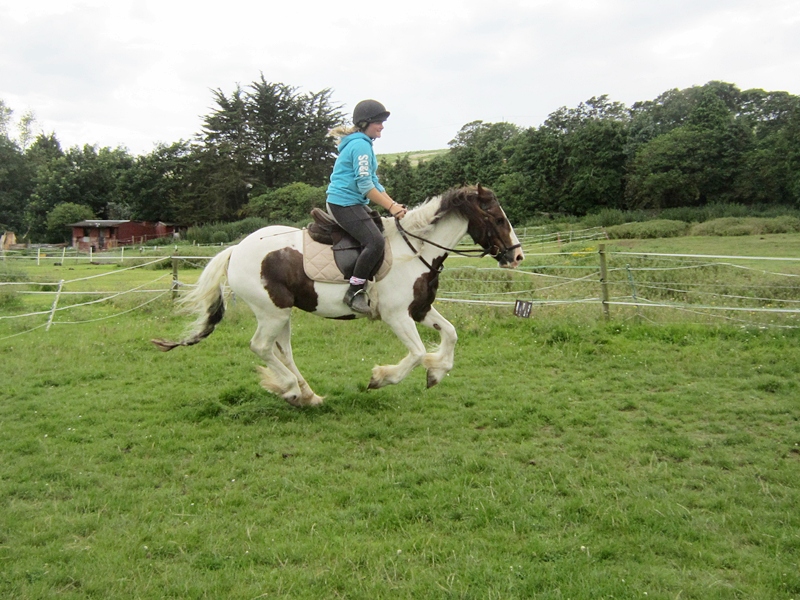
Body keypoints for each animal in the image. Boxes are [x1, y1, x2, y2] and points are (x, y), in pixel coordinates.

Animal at [152, 184, 524, 407]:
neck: (415, 250)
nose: (517, 256)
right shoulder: (396, 316)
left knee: (282, 350)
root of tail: (235, 250)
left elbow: (451, 334)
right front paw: (381, 378)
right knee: (261, 347)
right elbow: (418, 353)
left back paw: (308, 395)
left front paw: (437, 371)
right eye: (496, 217)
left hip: (282, 314)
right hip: (273, 312)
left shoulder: (419, 309)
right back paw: (291, 390)